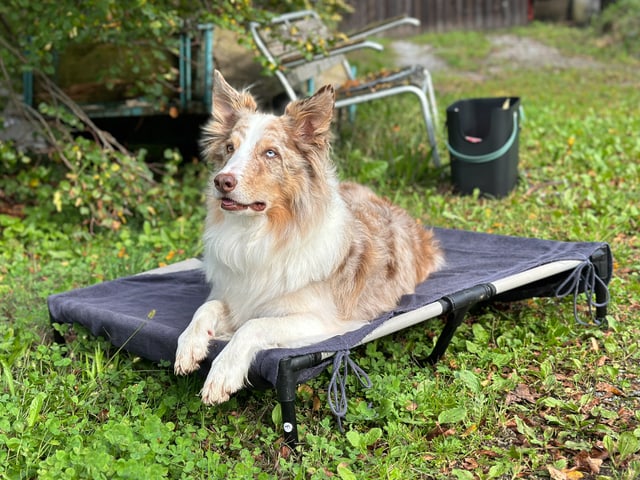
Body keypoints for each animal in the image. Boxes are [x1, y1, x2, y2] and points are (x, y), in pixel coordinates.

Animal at [175, 69, 444, 404]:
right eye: (229, 149)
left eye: (270, 153)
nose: (221, 181)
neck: (257, 235)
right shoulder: (236, 297)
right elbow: (206, 308)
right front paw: (189, 344)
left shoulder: (323, 321)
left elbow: (252, 326)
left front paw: (224, 372)